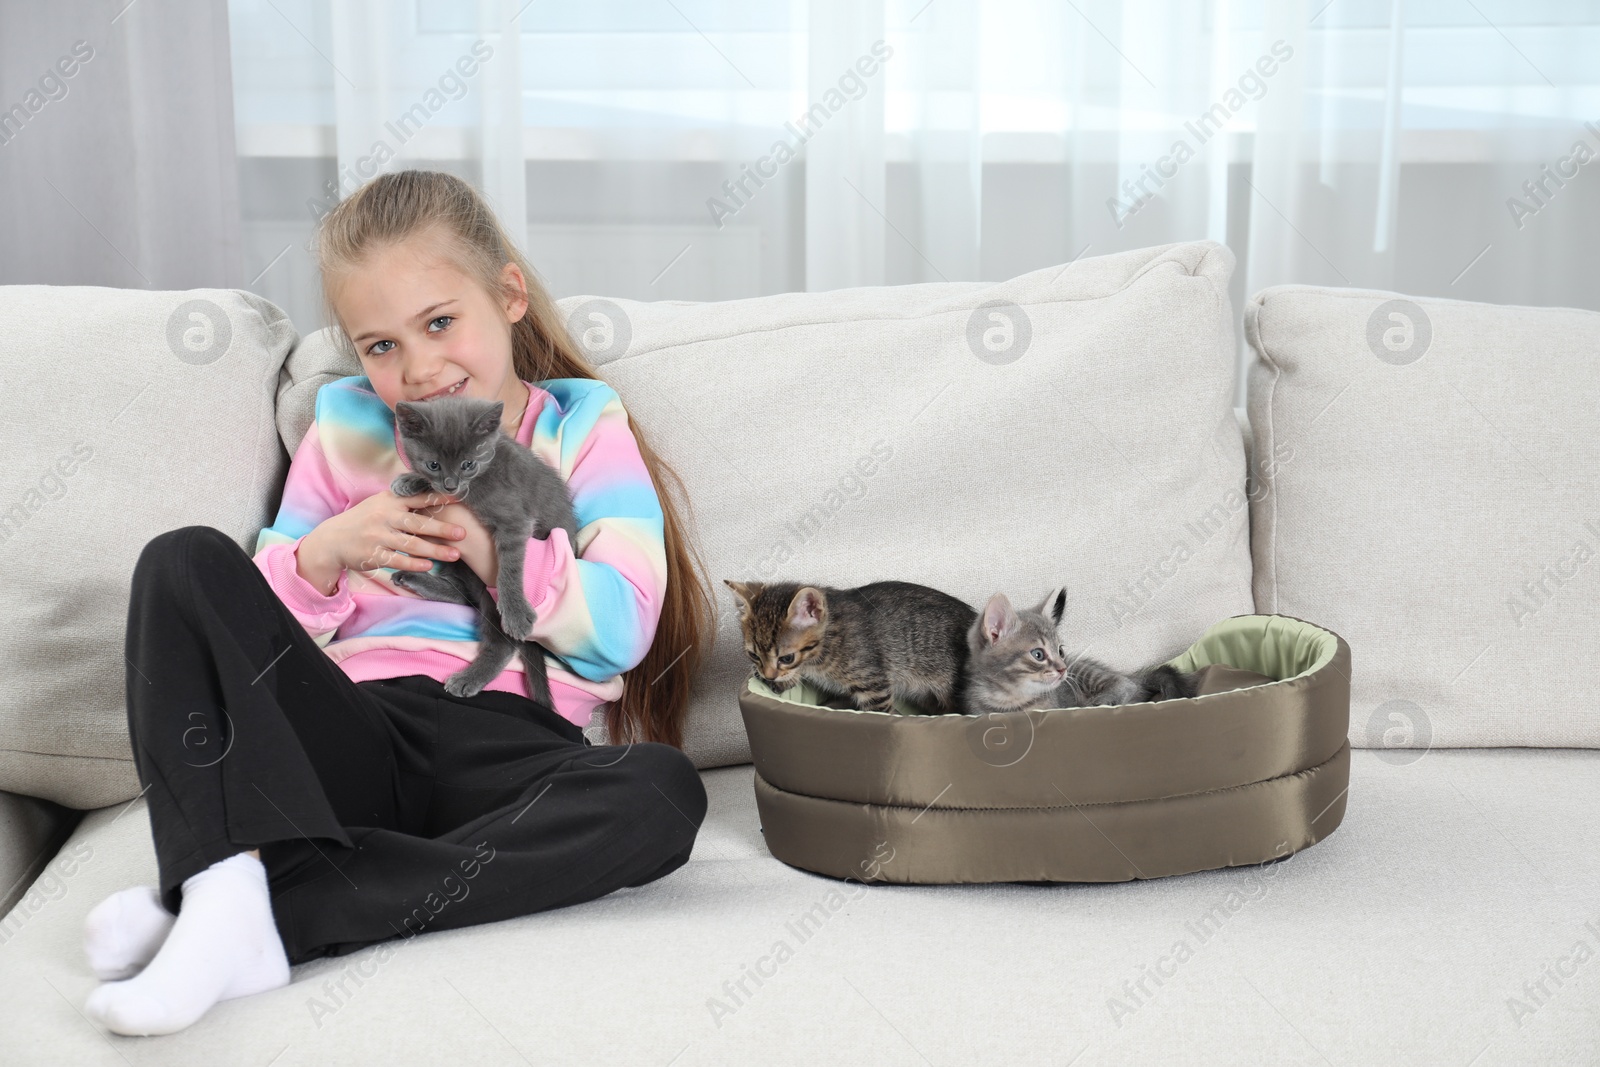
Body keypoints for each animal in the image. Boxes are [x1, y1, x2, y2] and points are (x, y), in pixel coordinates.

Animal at [388, 391, 582, 710]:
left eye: (468, 463)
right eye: (433, 465)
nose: (451, 485)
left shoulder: (515, 521)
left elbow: (510, 567)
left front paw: (515, 611)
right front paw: (410, 481)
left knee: (499, 638)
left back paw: (469, 677)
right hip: (460, 565)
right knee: (466, 593)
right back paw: (415, 580)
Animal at [953, 585, 1196, 716]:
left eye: (1060, 651)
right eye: (1038, 654)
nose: (1063, 669)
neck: (1011, 701)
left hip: (1085, 671)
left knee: (1125, 684)